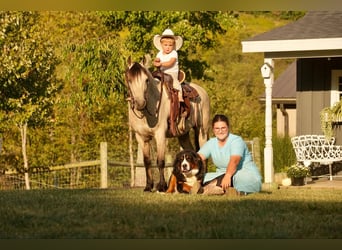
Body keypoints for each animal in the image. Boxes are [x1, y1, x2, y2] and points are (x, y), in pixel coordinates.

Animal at [125, 56, 210, 192]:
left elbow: (160, 161)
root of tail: (202, 91)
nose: (140, 103)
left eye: (146, 80)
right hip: (183, 135)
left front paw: (162, 186)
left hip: (202, 131)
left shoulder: (160, 135)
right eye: (129, 80)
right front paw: (148, 186)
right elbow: (147, 161)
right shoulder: (141, 137)